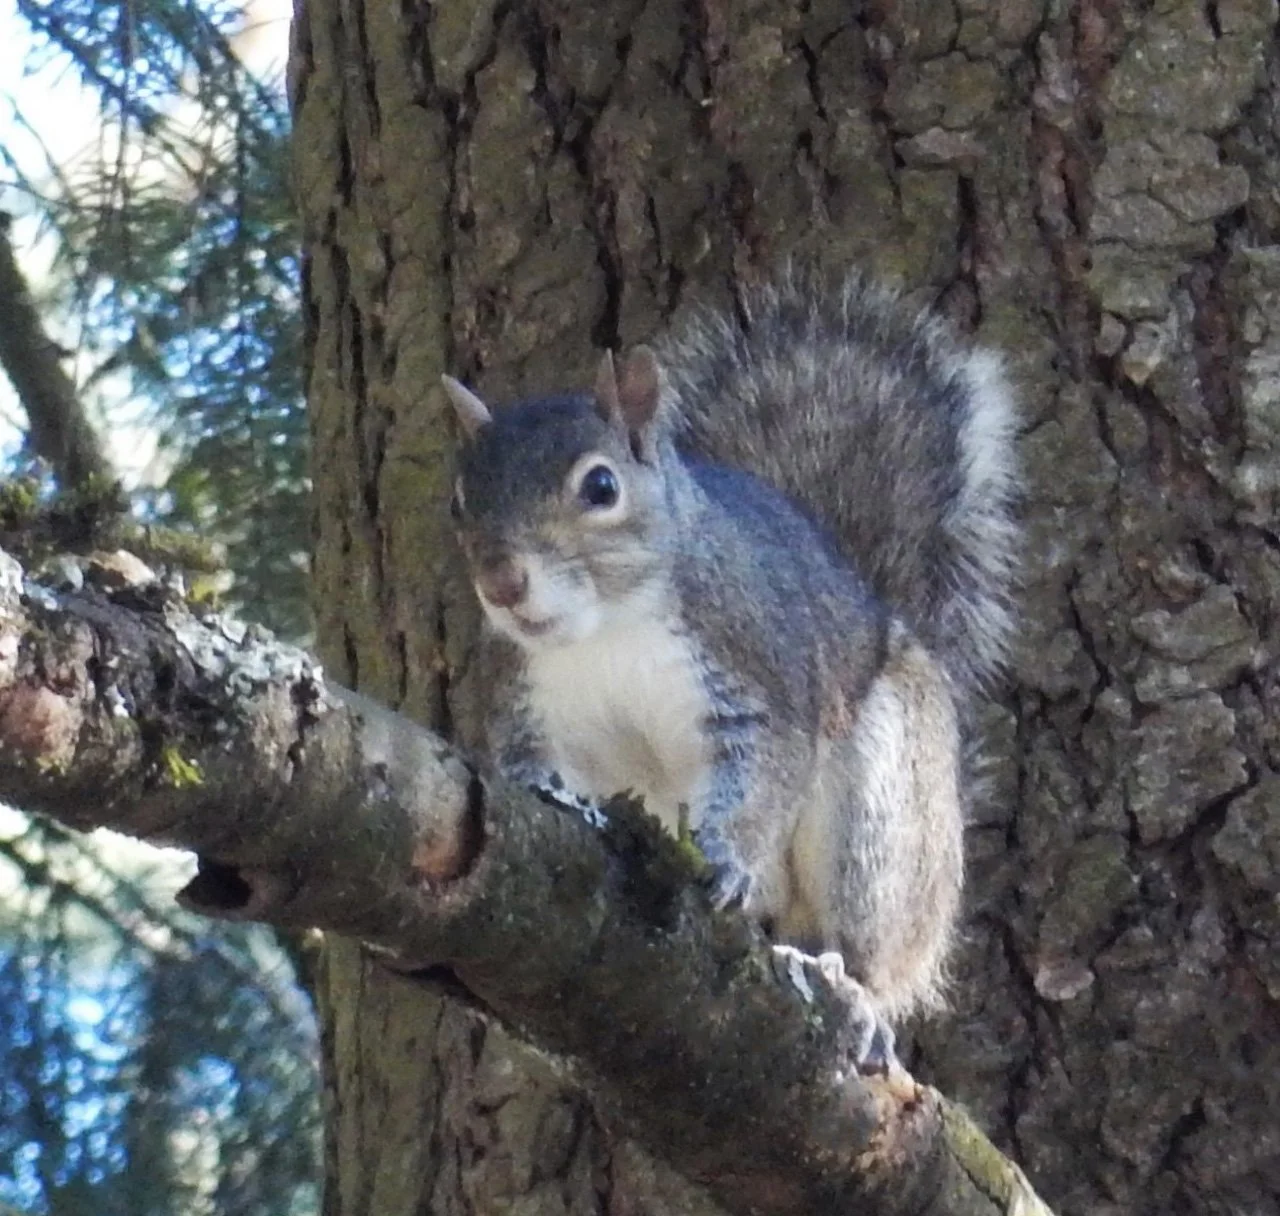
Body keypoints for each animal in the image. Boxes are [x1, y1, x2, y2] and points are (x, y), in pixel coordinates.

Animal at [442, 268, 1019, 1070]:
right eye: (459, 500)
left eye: (601, 487)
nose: (501, 582)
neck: (606, 629)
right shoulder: (527, 696)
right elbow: (538, 763)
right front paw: (540, 789)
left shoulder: (754, 670)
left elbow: (763, 772)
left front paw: (725, 859)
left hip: (885, 818)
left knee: (875, 938)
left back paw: (861, 994)